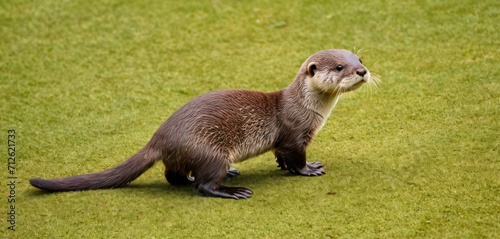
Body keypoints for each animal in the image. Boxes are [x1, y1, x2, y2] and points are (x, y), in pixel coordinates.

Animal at [28, 49, 372, 200]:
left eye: (360, 60)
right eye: (339, 67)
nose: (362, 72)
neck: (308, 108)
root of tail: (159, 138)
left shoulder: (285, 141)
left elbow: (280, 157)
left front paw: (288, 168)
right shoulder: (294, 133)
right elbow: (294, 157)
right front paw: (308, 169)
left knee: (174, 176)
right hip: (210, 151)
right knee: (202, 186)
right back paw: (233, 190)